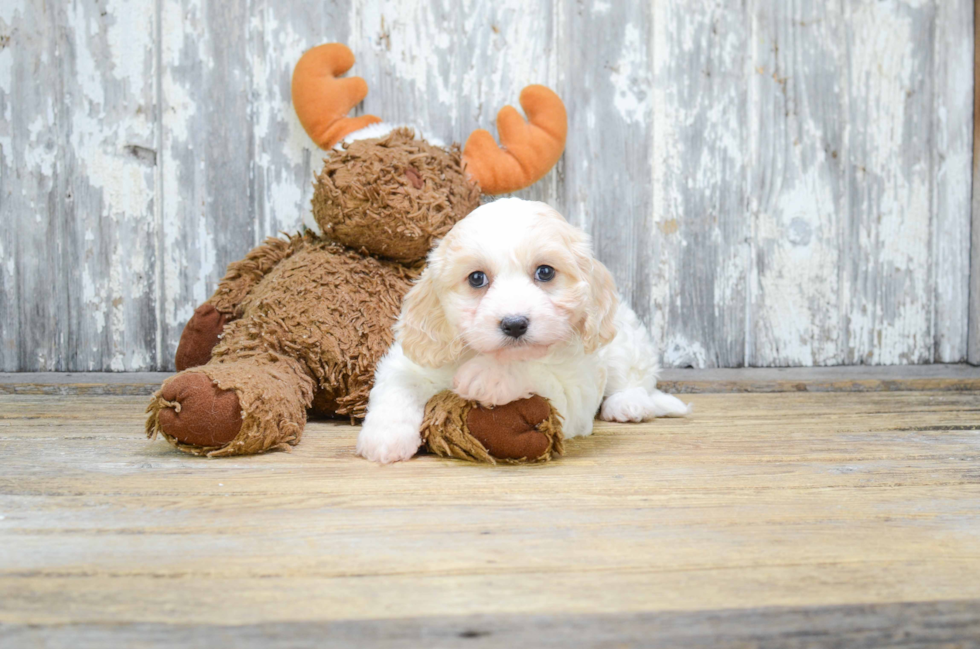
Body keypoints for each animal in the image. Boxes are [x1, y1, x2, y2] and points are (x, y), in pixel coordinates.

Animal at [354, 197, 688, 460]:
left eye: (545, 272)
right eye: (477, 278)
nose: (514, 324)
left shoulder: (576, 393)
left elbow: (537, 372)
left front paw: (488, 376)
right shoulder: (409, 362)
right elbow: (397, 386)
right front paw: (385, 437)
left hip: (622, 344)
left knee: (635, 378)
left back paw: (628, 404)